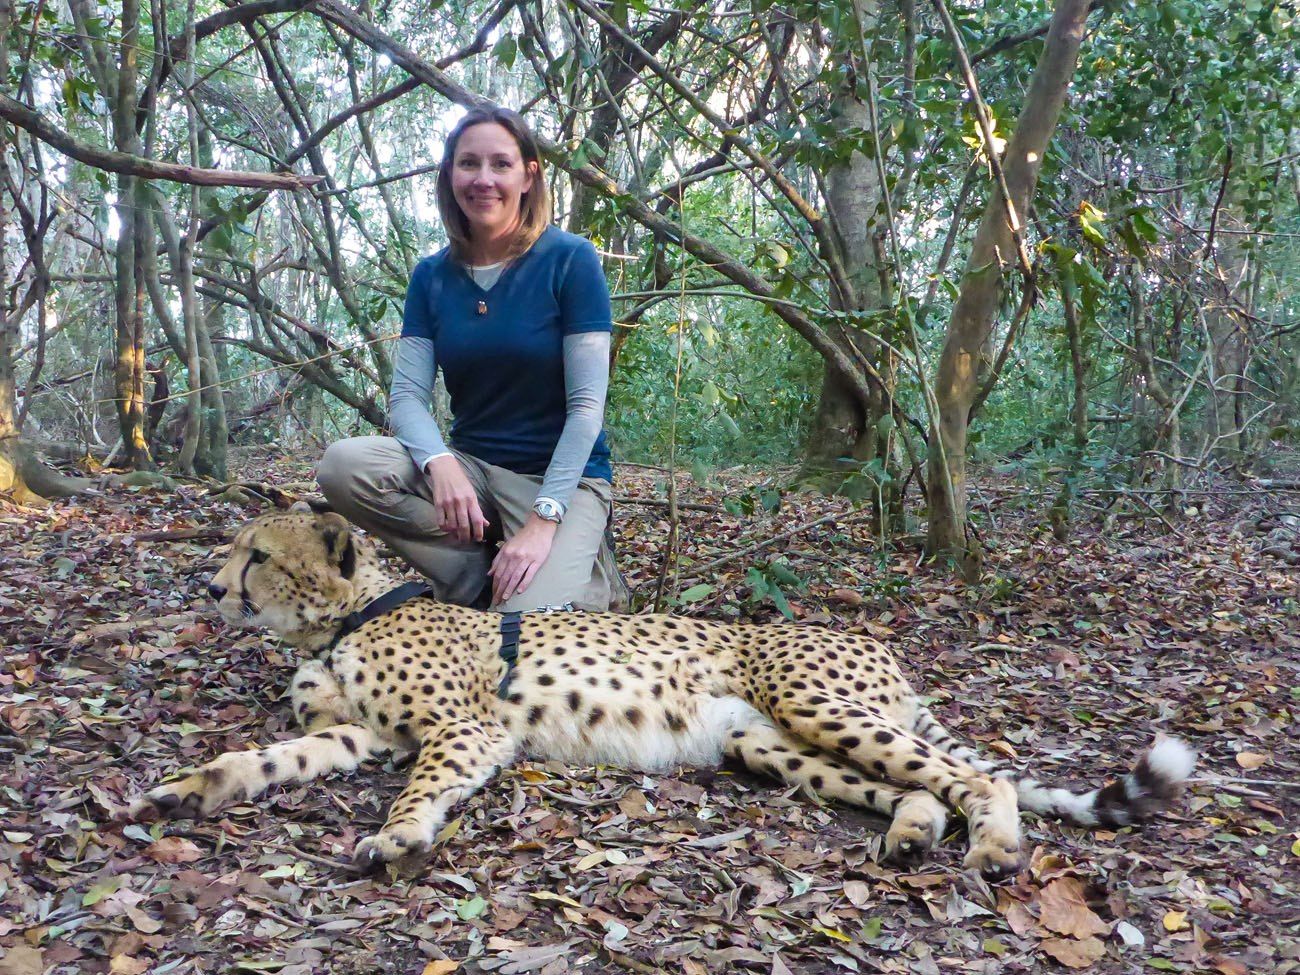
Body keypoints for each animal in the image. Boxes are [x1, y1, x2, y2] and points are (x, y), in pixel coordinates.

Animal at [131, 512, 1196, 878]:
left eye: (255, 555)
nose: (209, 586)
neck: (343, 619)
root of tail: (871, 641)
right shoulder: (359, 736)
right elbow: (265, 755)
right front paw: (187, 789)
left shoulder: (462, 731)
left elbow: (421, 783)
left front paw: (398, 836)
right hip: (765, 742)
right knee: (917, 787)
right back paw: (908, 834)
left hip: (817, 703)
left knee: (981, 778)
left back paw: (998, 846)